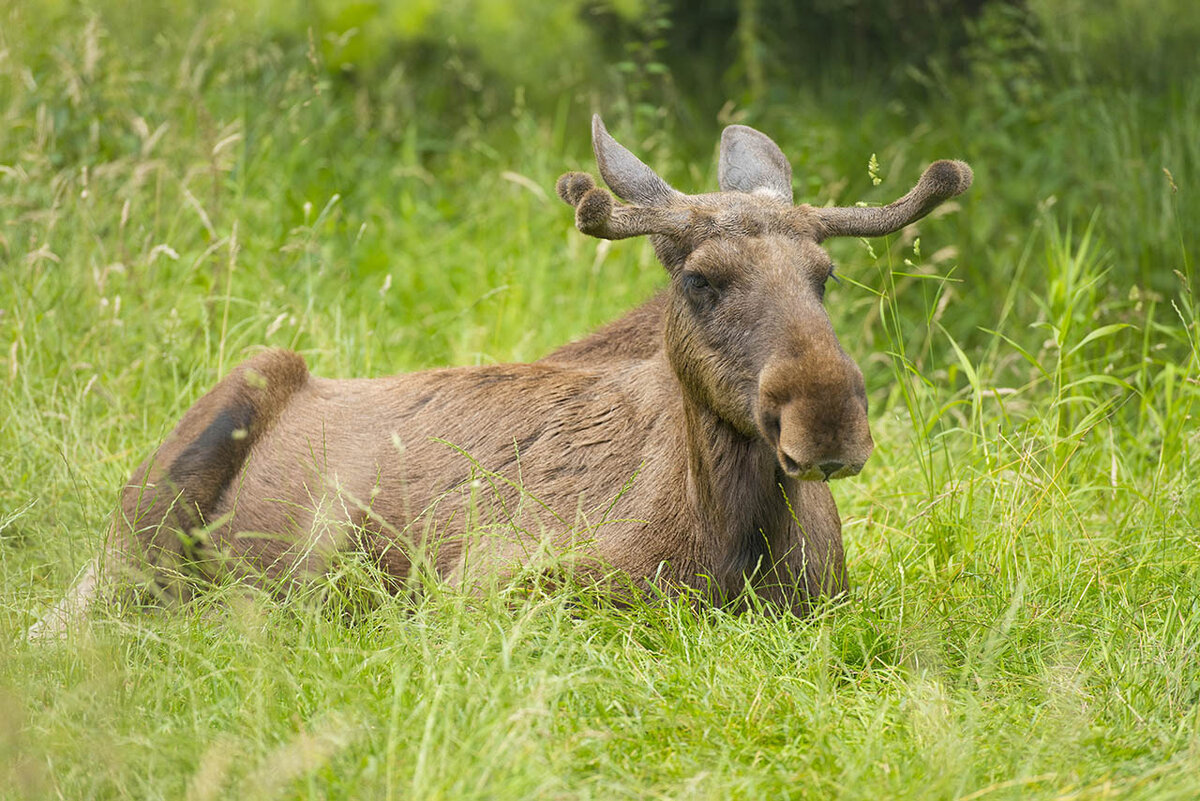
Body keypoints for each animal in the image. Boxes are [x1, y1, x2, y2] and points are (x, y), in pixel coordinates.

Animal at [30, 113, 974, 637]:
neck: (728, 533)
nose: (827, 419)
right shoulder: (480, 583)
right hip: (193, 452)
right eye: (700, 279)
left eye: (825, 275)